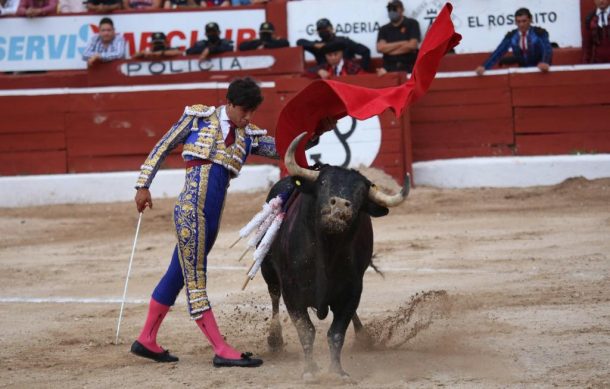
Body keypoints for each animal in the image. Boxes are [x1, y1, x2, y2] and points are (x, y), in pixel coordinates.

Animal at [258, 133, 406, 376]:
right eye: (324, 183)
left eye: (361, 193)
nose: (340, 206)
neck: (326, 248)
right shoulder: (292, 292)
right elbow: (306, 330)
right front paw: (310, 370)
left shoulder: (352, 290)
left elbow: (336, 333)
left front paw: (337, 372)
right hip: (268, 270)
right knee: (274, 295)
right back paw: (274, 340)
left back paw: (364, 337)